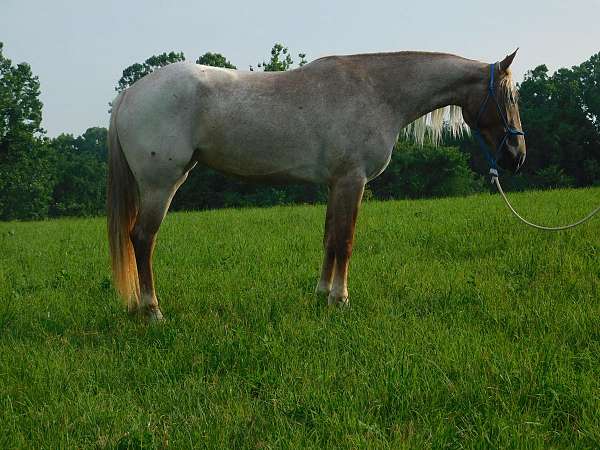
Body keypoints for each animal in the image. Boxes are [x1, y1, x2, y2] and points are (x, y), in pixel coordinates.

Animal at [106, 49, 524, 320]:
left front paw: (322, 294)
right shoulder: (352, 180)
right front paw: (340, 299)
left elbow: (329, 239)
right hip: (162, 184)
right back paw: (152, 310)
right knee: (142, 239)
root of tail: (130, 94)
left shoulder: (335, 184)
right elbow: (345, 241)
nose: (516, 156)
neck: (377, 92)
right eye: (508, 96)